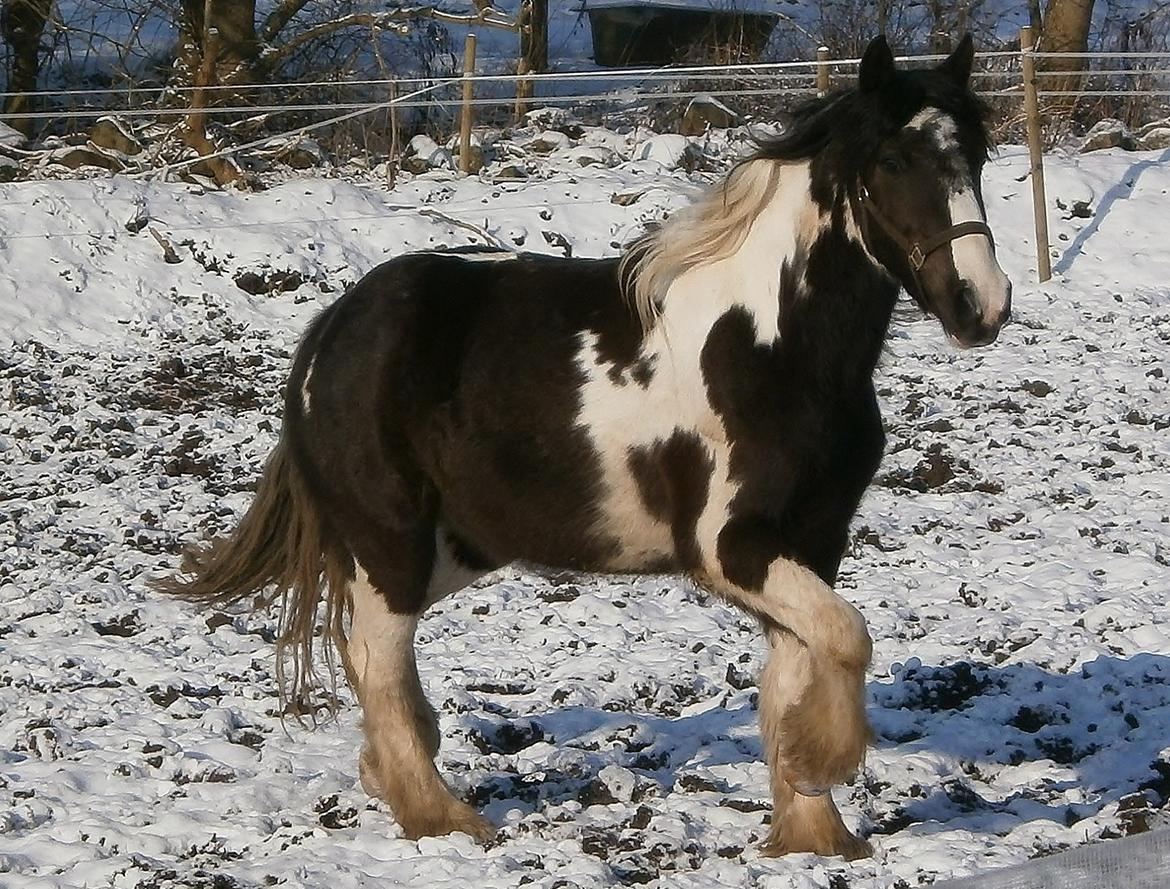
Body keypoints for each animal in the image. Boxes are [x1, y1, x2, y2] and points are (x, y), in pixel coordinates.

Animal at [160, 38, 1010, 856]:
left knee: (373, 660)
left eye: (976, 154)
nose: (982, 304)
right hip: (392, 544)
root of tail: (333, 326)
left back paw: (390, 775)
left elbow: (801, 668)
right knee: (377, 658)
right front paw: (821, 764)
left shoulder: (812, 540)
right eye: (893, 161)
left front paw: (813, 828)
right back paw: (442, 817)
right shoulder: (731, 546)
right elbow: (848, 637)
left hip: (454, 545)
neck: (771, 347)